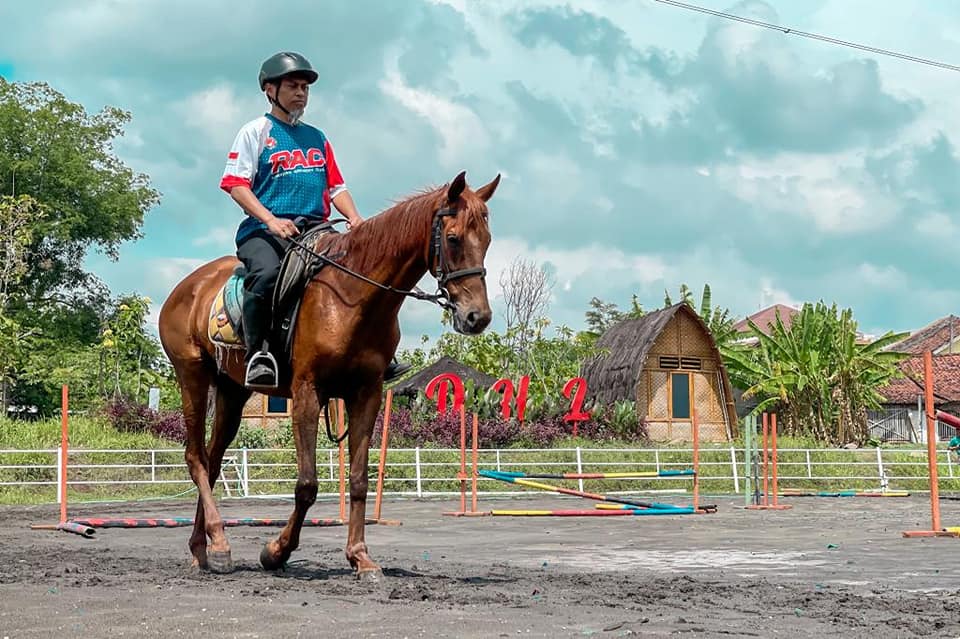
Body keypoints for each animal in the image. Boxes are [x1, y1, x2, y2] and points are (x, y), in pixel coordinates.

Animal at [158, 172, 498, 576]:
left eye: (487, 240)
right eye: (453, 238)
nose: (478, 316)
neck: (351, 298)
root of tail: (187, 287)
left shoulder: (365, 394)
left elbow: (359, 479)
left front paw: (360, 556)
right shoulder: (308, 391)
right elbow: (307, 484)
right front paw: (275, 552)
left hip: (232, 390)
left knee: (211, 461)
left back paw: (202, 548)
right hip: (192, 375)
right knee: (195, 457)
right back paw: (220, 543)